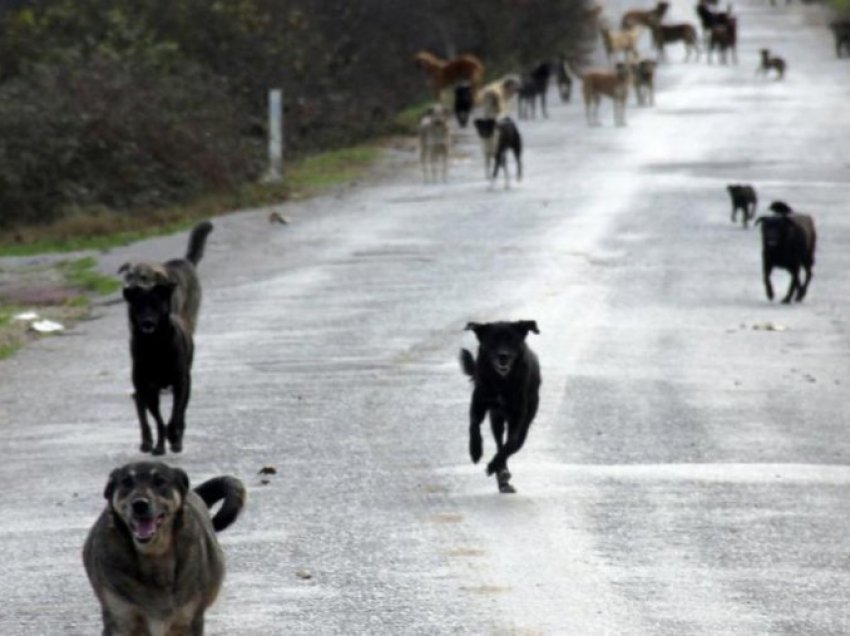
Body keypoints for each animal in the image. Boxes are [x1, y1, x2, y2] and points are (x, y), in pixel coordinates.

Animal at [83, 462, 245, 636]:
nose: (139, 504)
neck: (154, 554)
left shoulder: (188, 620)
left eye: (160, 481)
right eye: (126, 482)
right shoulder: (121, 620)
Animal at [121, 221, 214, 454]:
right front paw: (159, 444)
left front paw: (174, 437)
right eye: (138, 307)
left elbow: (175, 415)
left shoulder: (181, 384)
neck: (155, 345)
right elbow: (158, 420)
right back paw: (150, 442)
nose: (147, 323)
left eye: (156, 305)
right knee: (143, 413)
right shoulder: (148, 388)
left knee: (180, 414)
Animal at [460, 320, 540, 494]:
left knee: (510, 445)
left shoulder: (518, 416)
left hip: (524, 421)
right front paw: (475, 451)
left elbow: (510, 444)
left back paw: (502, 474)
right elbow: (473, 426)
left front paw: (492, 466)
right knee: (498, 442)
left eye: (512, 340)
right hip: (496, 419)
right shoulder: (479, 403)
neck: (501, 382)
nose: (503, 356)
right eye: (492, 341)